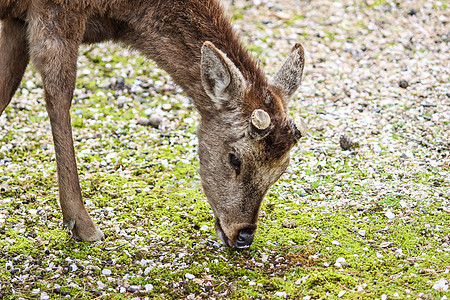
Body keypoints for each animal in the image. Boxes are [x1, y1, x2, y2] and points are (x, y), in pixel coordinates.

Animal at [0, 0, 308, 248]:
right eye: (235, 159)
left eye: (282, 169)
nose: (244, 235)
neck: (121, 16)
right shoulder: (55, 11)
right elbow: (59, 96)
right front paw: (82, 225)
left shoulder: (17, 19)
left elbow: (4, 90)